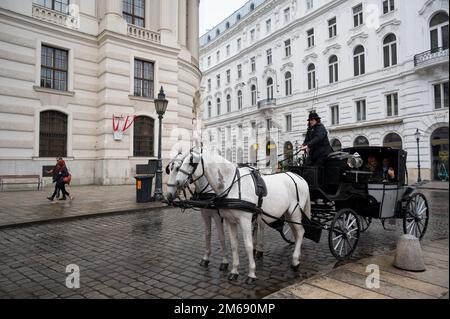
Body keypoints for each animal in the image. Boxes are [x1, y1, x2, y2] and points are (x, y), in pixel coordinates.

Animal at [174, 148, 312, 284]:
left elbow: (248, 245)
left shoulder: (245, 220)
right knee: (296, 232)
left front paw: (251, 273)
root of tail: (299, 178)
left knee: (300, 232)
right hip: (288, 213)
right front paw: (234, 271)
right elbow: (234, 245)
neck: (232, 185)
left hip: (295, 211)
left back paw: (295, 261)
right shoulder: (230, 221)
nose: (177, 182)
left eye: (191, 162)